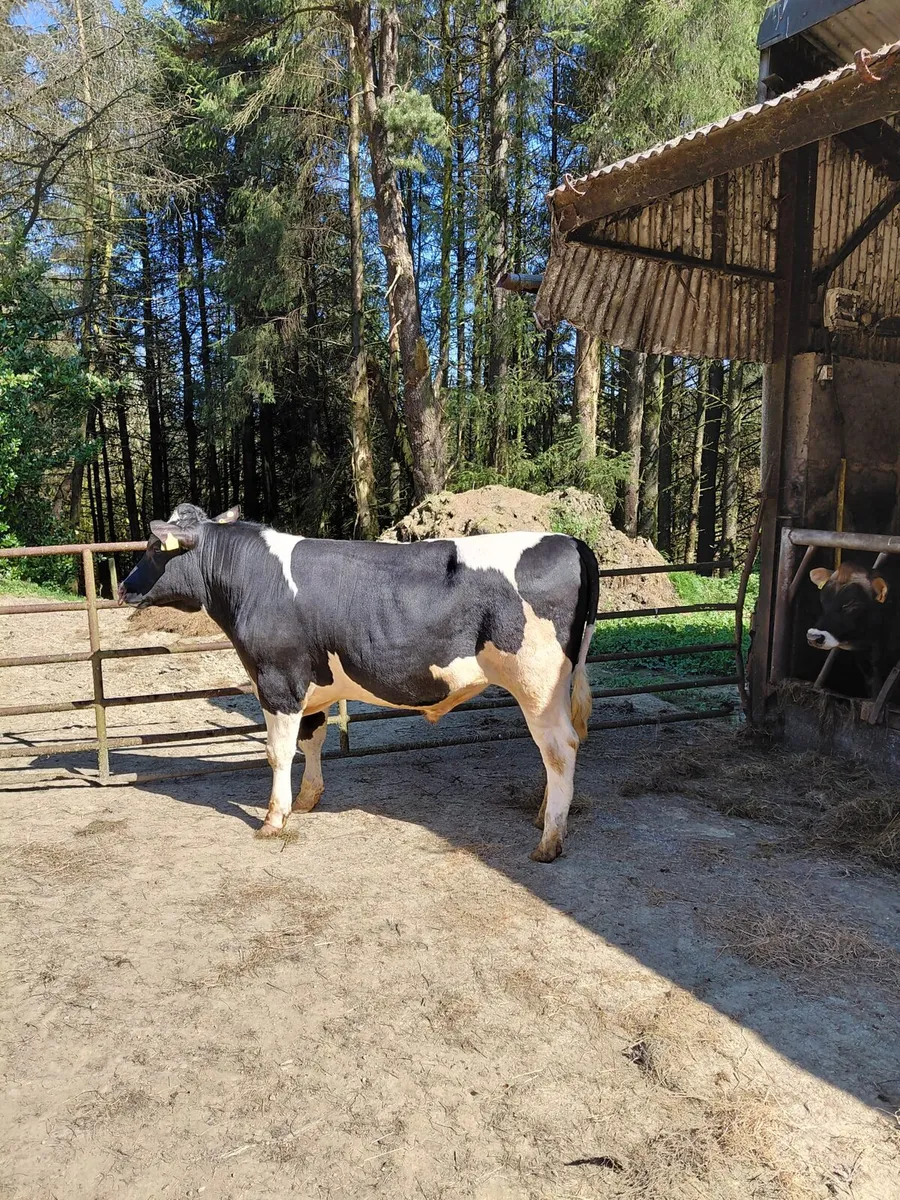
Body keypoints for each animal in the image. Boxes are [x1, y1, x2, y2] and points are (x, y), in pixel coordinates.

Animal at [118, 504, 600, 862]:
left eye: (153, 547)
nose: (123, 587)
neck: (253, 580)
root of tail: (570, 541)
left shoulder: (276, 680)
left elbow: (277, 752)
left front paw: (274, 818)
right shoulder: (311, 687)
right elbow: (312, 740)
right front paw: (308, 799)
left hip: (537, 683)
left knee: (560, 748)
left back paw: (549, 840)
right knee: (559, 749)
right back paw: (544, 815)